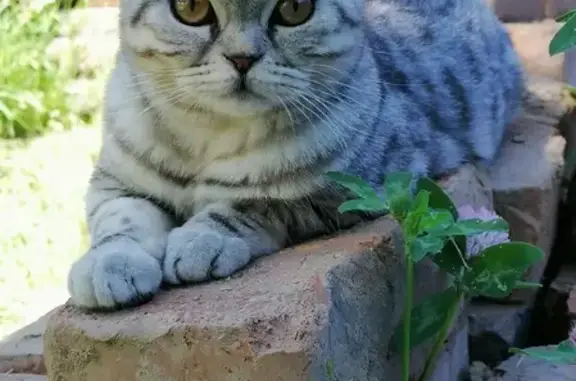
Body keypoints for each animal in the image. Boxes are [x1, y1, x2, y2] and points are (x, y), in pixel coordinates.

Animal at [66, 0, 520, 308]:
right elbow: (121, 219)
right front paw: (110, 265)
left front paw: (201, 239)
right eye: (190, 8)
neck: (209, 138)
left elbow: (255, 203)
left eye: (295, 8)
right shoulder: (115, 180)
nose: (242, 57)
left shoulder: (361, 188)